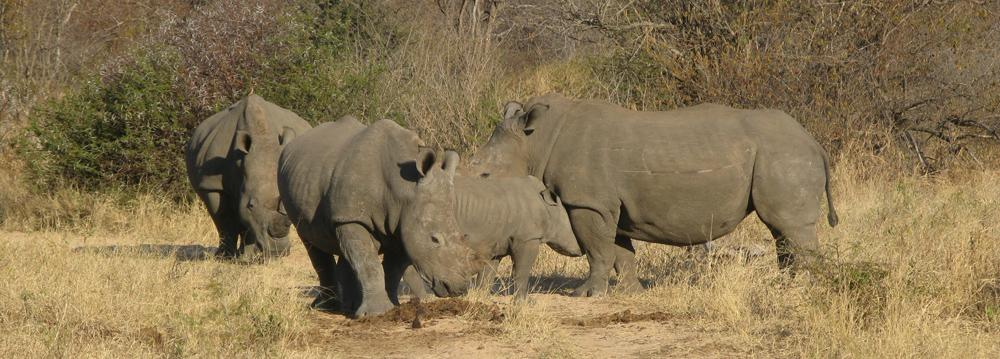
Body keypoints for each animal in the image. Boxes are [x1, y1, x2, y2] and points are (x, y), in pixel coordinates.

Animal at [276, 117, 482, 318]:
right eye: (434, 239)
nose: (459, 288)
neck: (404, 190)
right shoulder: (355, 217)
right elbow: (369, 263)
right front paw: (377, 313)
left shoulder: (404, 224)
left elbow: (392, 269)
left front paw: (393, 307)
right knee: (311, 241)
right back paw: (326, 308)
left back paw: (349, 308)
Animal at [464, 93, 840, 298]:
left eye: (484, 174)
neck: (535, 138)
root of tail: (813, 141)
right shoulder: (608, 204)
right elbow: (619, 251)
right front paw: (631, 292)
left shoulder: (588, 202)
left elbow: (596, 249)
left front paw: (585, 294)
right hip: (781, 154)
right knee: (781, 231)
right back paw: (785, 286)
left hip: (784, 154)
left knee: (790, 227)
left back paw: (803, 289)